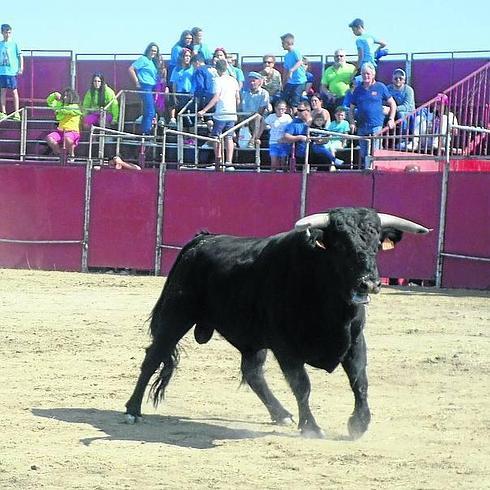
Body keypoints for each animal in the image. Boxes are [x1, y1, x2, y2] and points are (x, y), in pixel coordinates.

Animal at [125, 207, 428, 436]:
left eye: (376, 244)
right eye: (342, 244)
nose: (369, 283)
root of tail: (203, 239)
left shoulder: (354, 340)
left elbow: (359, 380)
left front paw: (359, 424)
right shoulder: (286, 348)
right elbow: (302, 385)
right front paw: (312, 428)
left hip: (251, 337)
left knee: (252, 372)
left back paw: (280, 414)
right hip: (176, 316)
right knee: (153, 357)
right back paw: (132, 410)